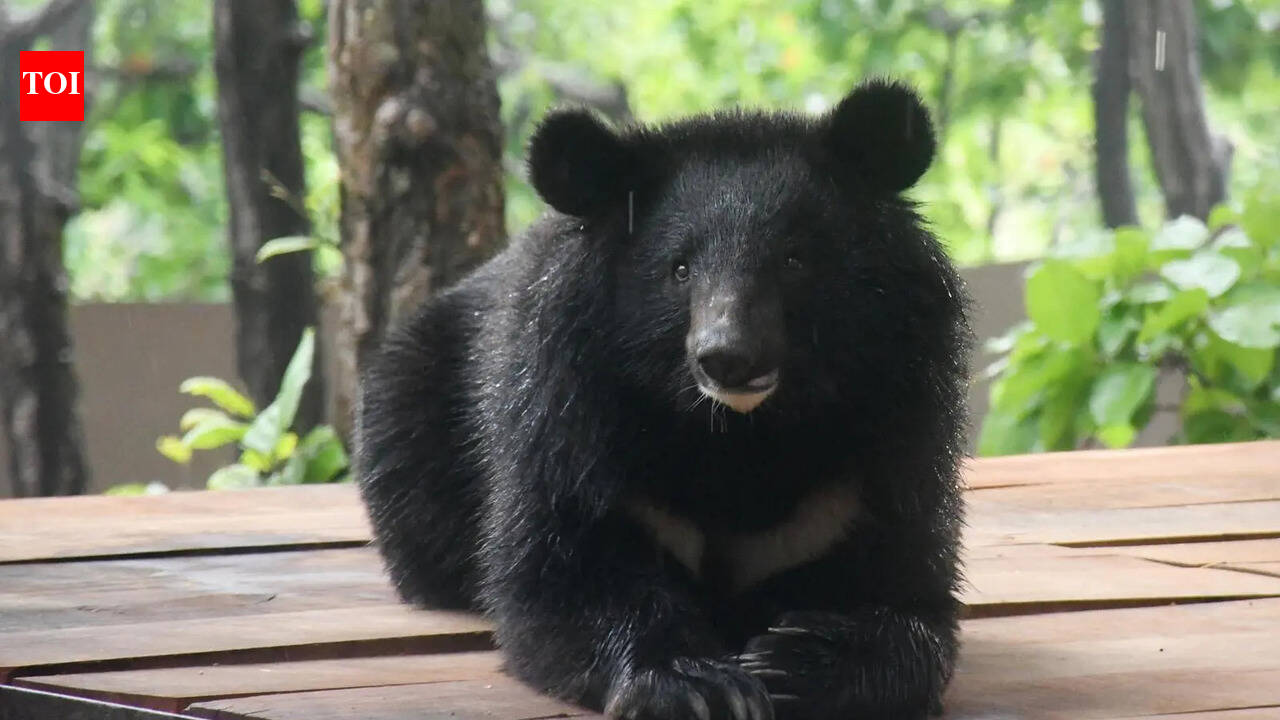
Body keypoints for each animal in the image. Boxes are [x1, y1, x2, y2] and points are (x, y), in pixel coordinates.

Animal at [356, 79, 971, 720]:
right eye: (679, 269)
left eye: (795, 259)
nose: (728, 356)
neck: (740, 435)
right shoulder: (568, 412)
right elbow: (562, 571)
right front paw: (697, 683)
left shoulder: (887, 435)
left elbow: (906, 588)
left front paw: (797, 662)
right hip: (412, 410)